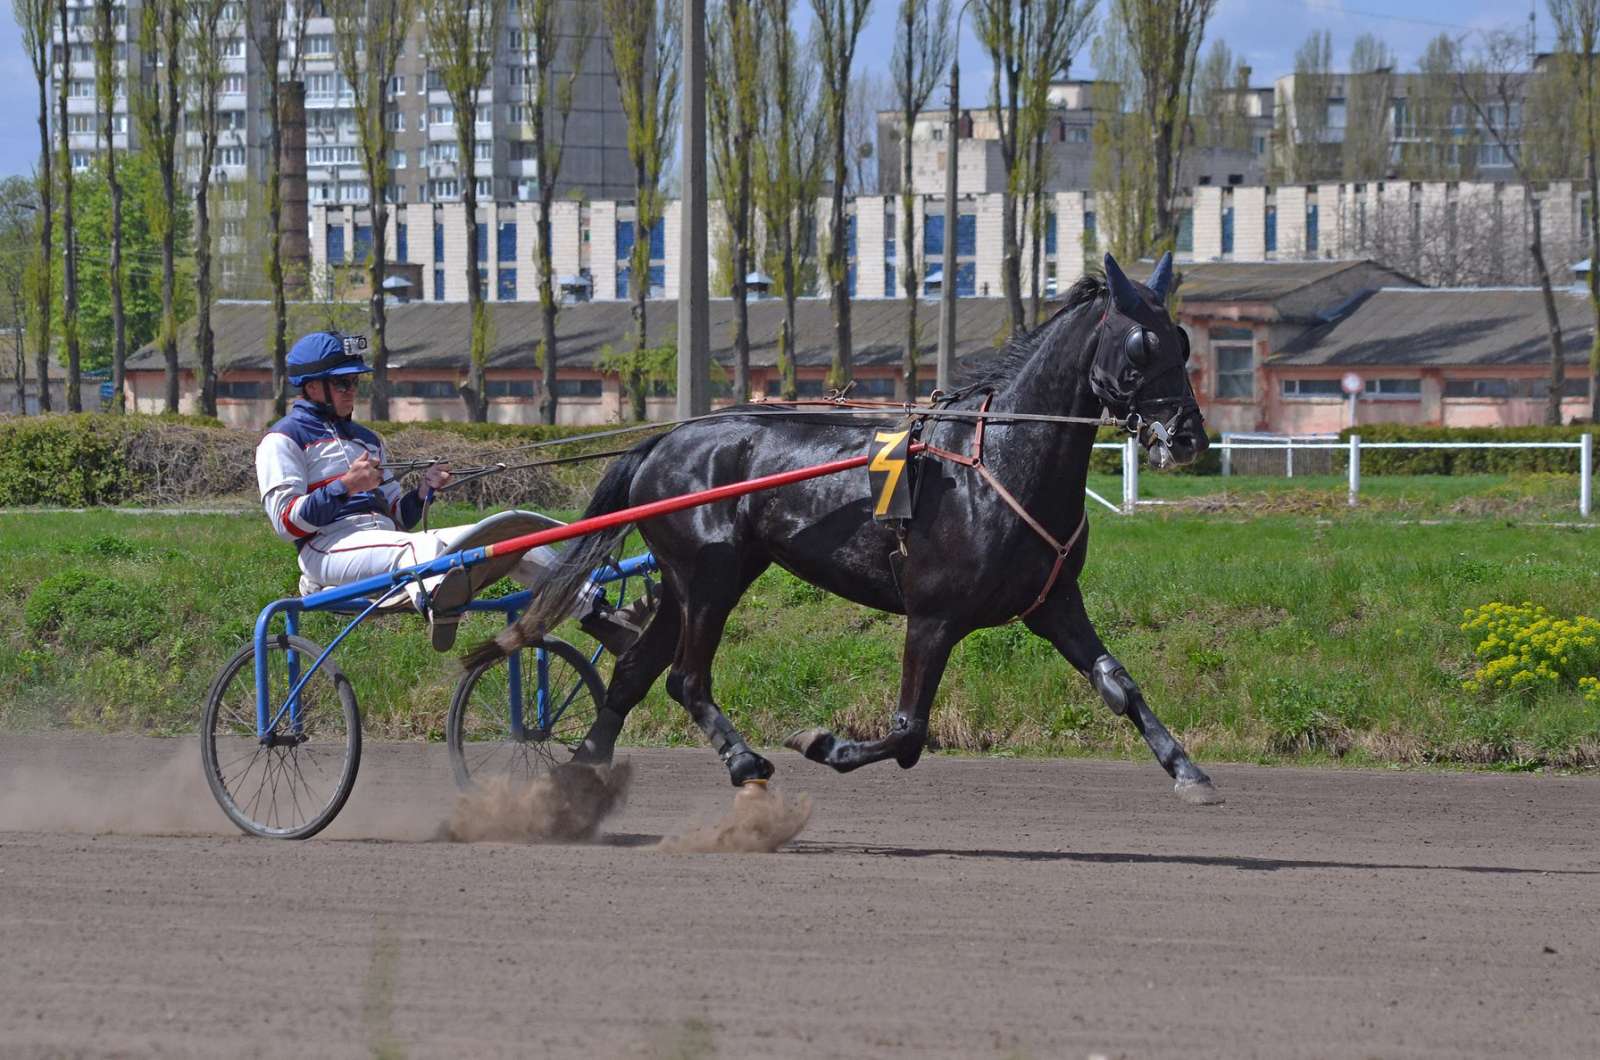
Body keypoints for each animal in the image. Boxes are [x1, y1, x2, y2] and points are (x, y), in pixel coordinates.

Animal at [473, 252, 1222, 810]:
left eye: (1182, 340)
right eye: (1141, 344)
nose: (1188, 436)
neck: (998, 463)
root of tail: (663, 439)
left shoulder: (1054, 602)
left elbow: (1118, 683)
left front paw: (1188, 771)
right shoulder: (933, 615)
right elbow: (909, 732)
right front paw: (821, 743)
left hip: (696, 581)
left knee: (634, 673)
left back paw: (582, 768)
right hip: (708, 575)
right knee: (686, 678)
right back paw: (744, 760)